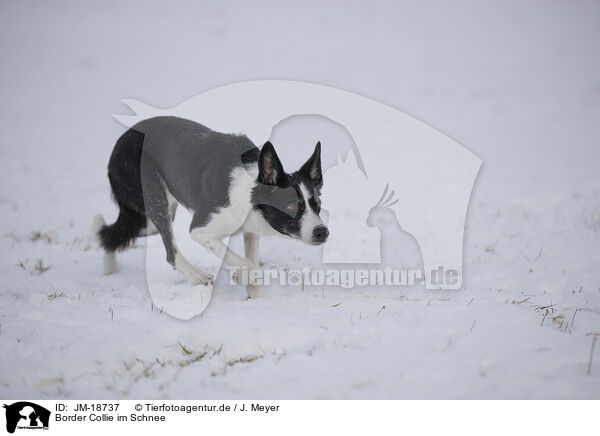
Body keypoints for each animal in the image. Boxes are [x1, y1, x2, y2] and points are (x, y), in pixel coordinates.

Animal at [93, 116, 328, 298]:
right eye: (291, 205)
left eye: (317, 204)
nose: (322, 232)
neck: (250, 192)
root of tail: (120, 142)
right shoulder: (200, 230)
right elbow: (246, 263)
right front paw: (242, 276)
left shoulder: (251, 231)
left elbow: (250, 259)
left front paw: (254, 301)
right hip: (154, 197)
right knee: (170, 252)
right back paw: (197, 276)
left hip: (149, 218)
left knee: (116, 234)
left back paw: (109, 270)